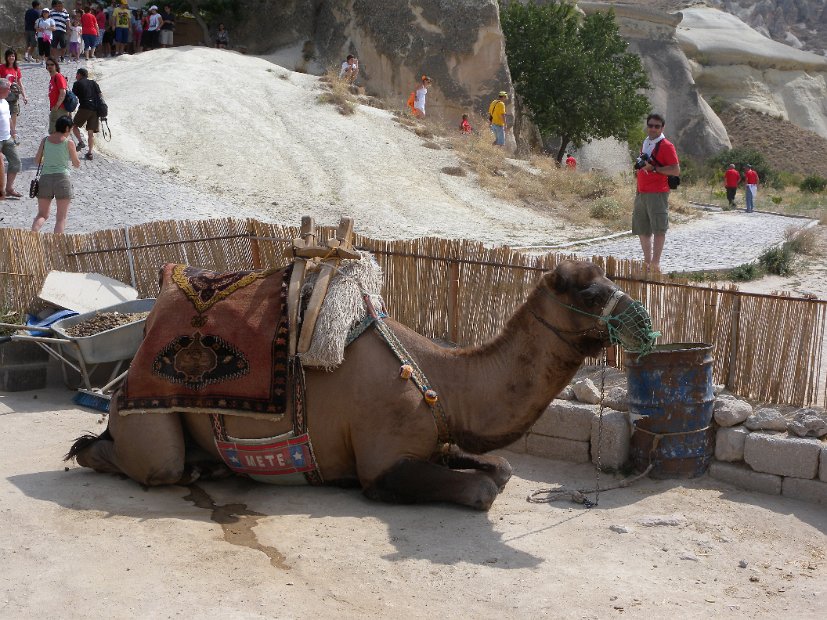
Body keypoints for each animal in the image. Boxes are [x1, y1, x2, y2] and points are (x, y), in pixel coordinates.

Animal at [66, 260, 652, 512]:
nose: (643, 321)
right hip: (147, 425)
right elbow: (482, 489)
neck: (440, 379)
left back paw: (210, 466)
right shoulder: (383, 460)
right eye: (589, 291)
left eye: (608, 280)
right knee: (137, 460)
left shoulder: (435, 438)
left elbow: (503, 468)